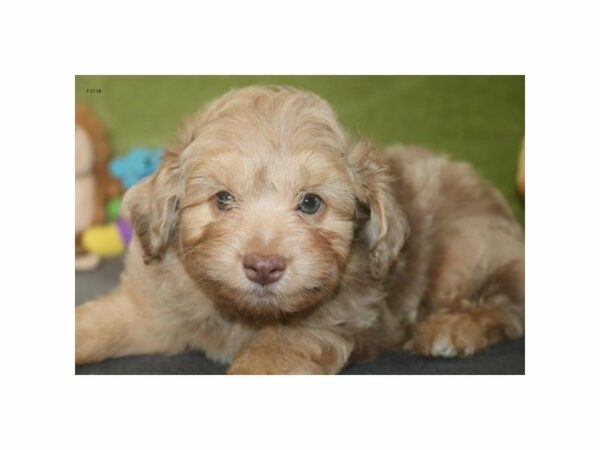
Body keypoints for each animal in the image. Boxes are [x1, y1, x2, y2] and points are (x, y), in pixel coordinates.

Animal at [76, 85, 524, 372]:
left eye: (310, 203)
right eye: (222, 199)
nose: (264, 265)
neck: (243, 314)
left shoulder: (334, 319)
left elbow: (274, 353)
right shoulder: (152, 309)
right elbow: (100, 322)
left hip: (467, 248)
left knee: (506, 307)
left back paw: (452, 329)